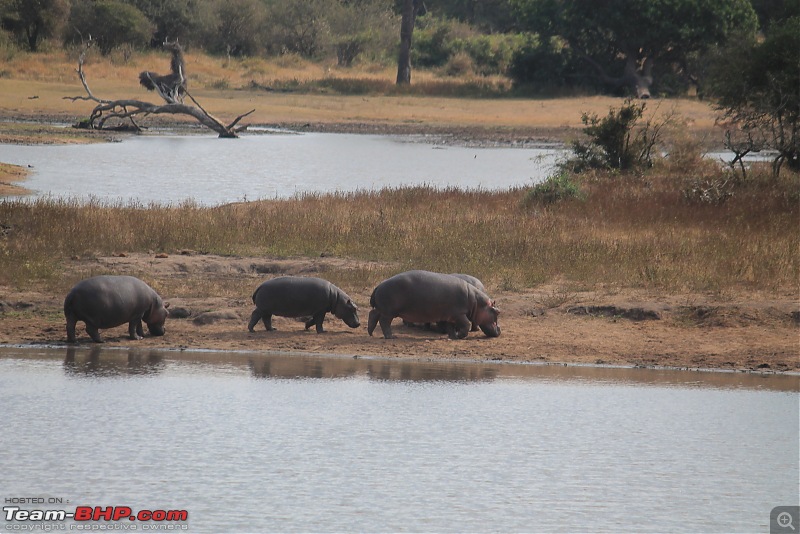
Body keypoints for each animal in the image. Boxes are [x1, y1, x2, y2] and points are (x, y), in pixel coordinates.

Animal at [368, 270, 500, 342]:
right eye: (498, 312)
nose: (499, 330)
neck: (477, 302)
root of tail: (378, 285)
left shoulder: (450, 316)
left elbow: (450, 327)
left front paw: (453, 337)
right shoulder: (459, 314)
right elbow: (466, 325)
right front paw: (459, 336)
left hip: (381, 309)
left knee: (372, 315)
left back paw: (370, 333)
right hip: (388, 312)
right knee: (384, 322)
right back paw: (391, 337)